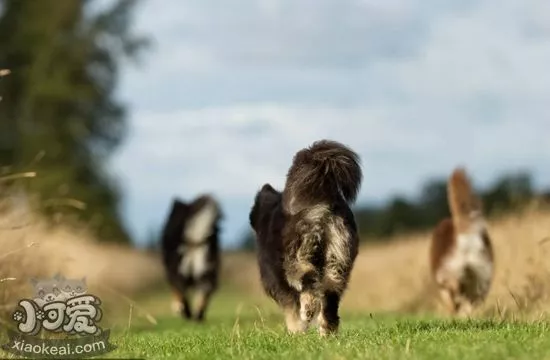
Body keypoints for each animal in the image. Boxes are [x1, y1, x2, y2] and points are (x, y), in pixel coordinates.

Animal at [249, 139, 362, 336]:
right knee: (330, 296)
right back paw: (327, 331)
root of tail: (322, 202)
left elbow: (290, 309)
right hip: (338, 257)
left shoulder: (276, 280)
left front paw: (295, 331)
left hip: (298, 253)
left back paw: (308, 309)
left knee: (307, 280)